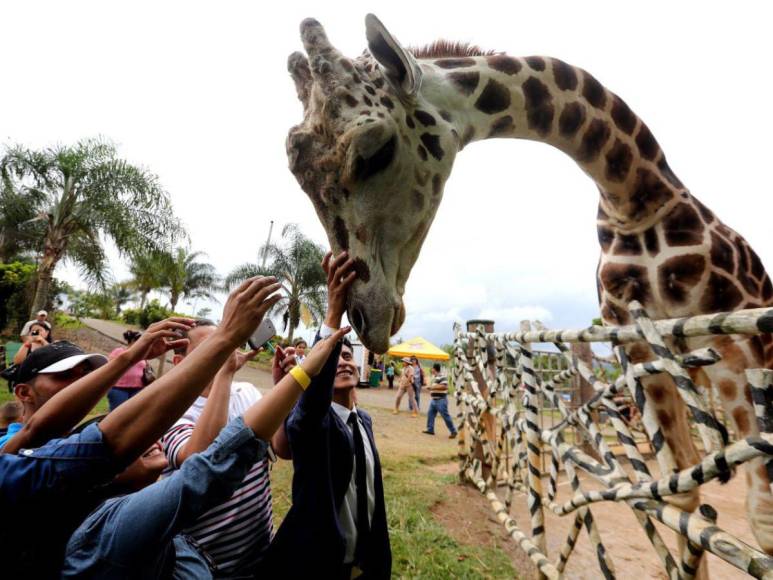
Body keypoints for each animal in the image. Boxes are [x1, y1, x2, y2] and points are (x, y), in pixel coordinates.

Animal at [286, 12, 772, 572]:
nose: (368, 317)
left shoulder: (739, 336)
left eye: (376, 151)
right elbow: (683, 494)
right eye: (299, 174)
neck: (632, 195)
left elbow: (761, 522)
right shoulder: (637, 343)